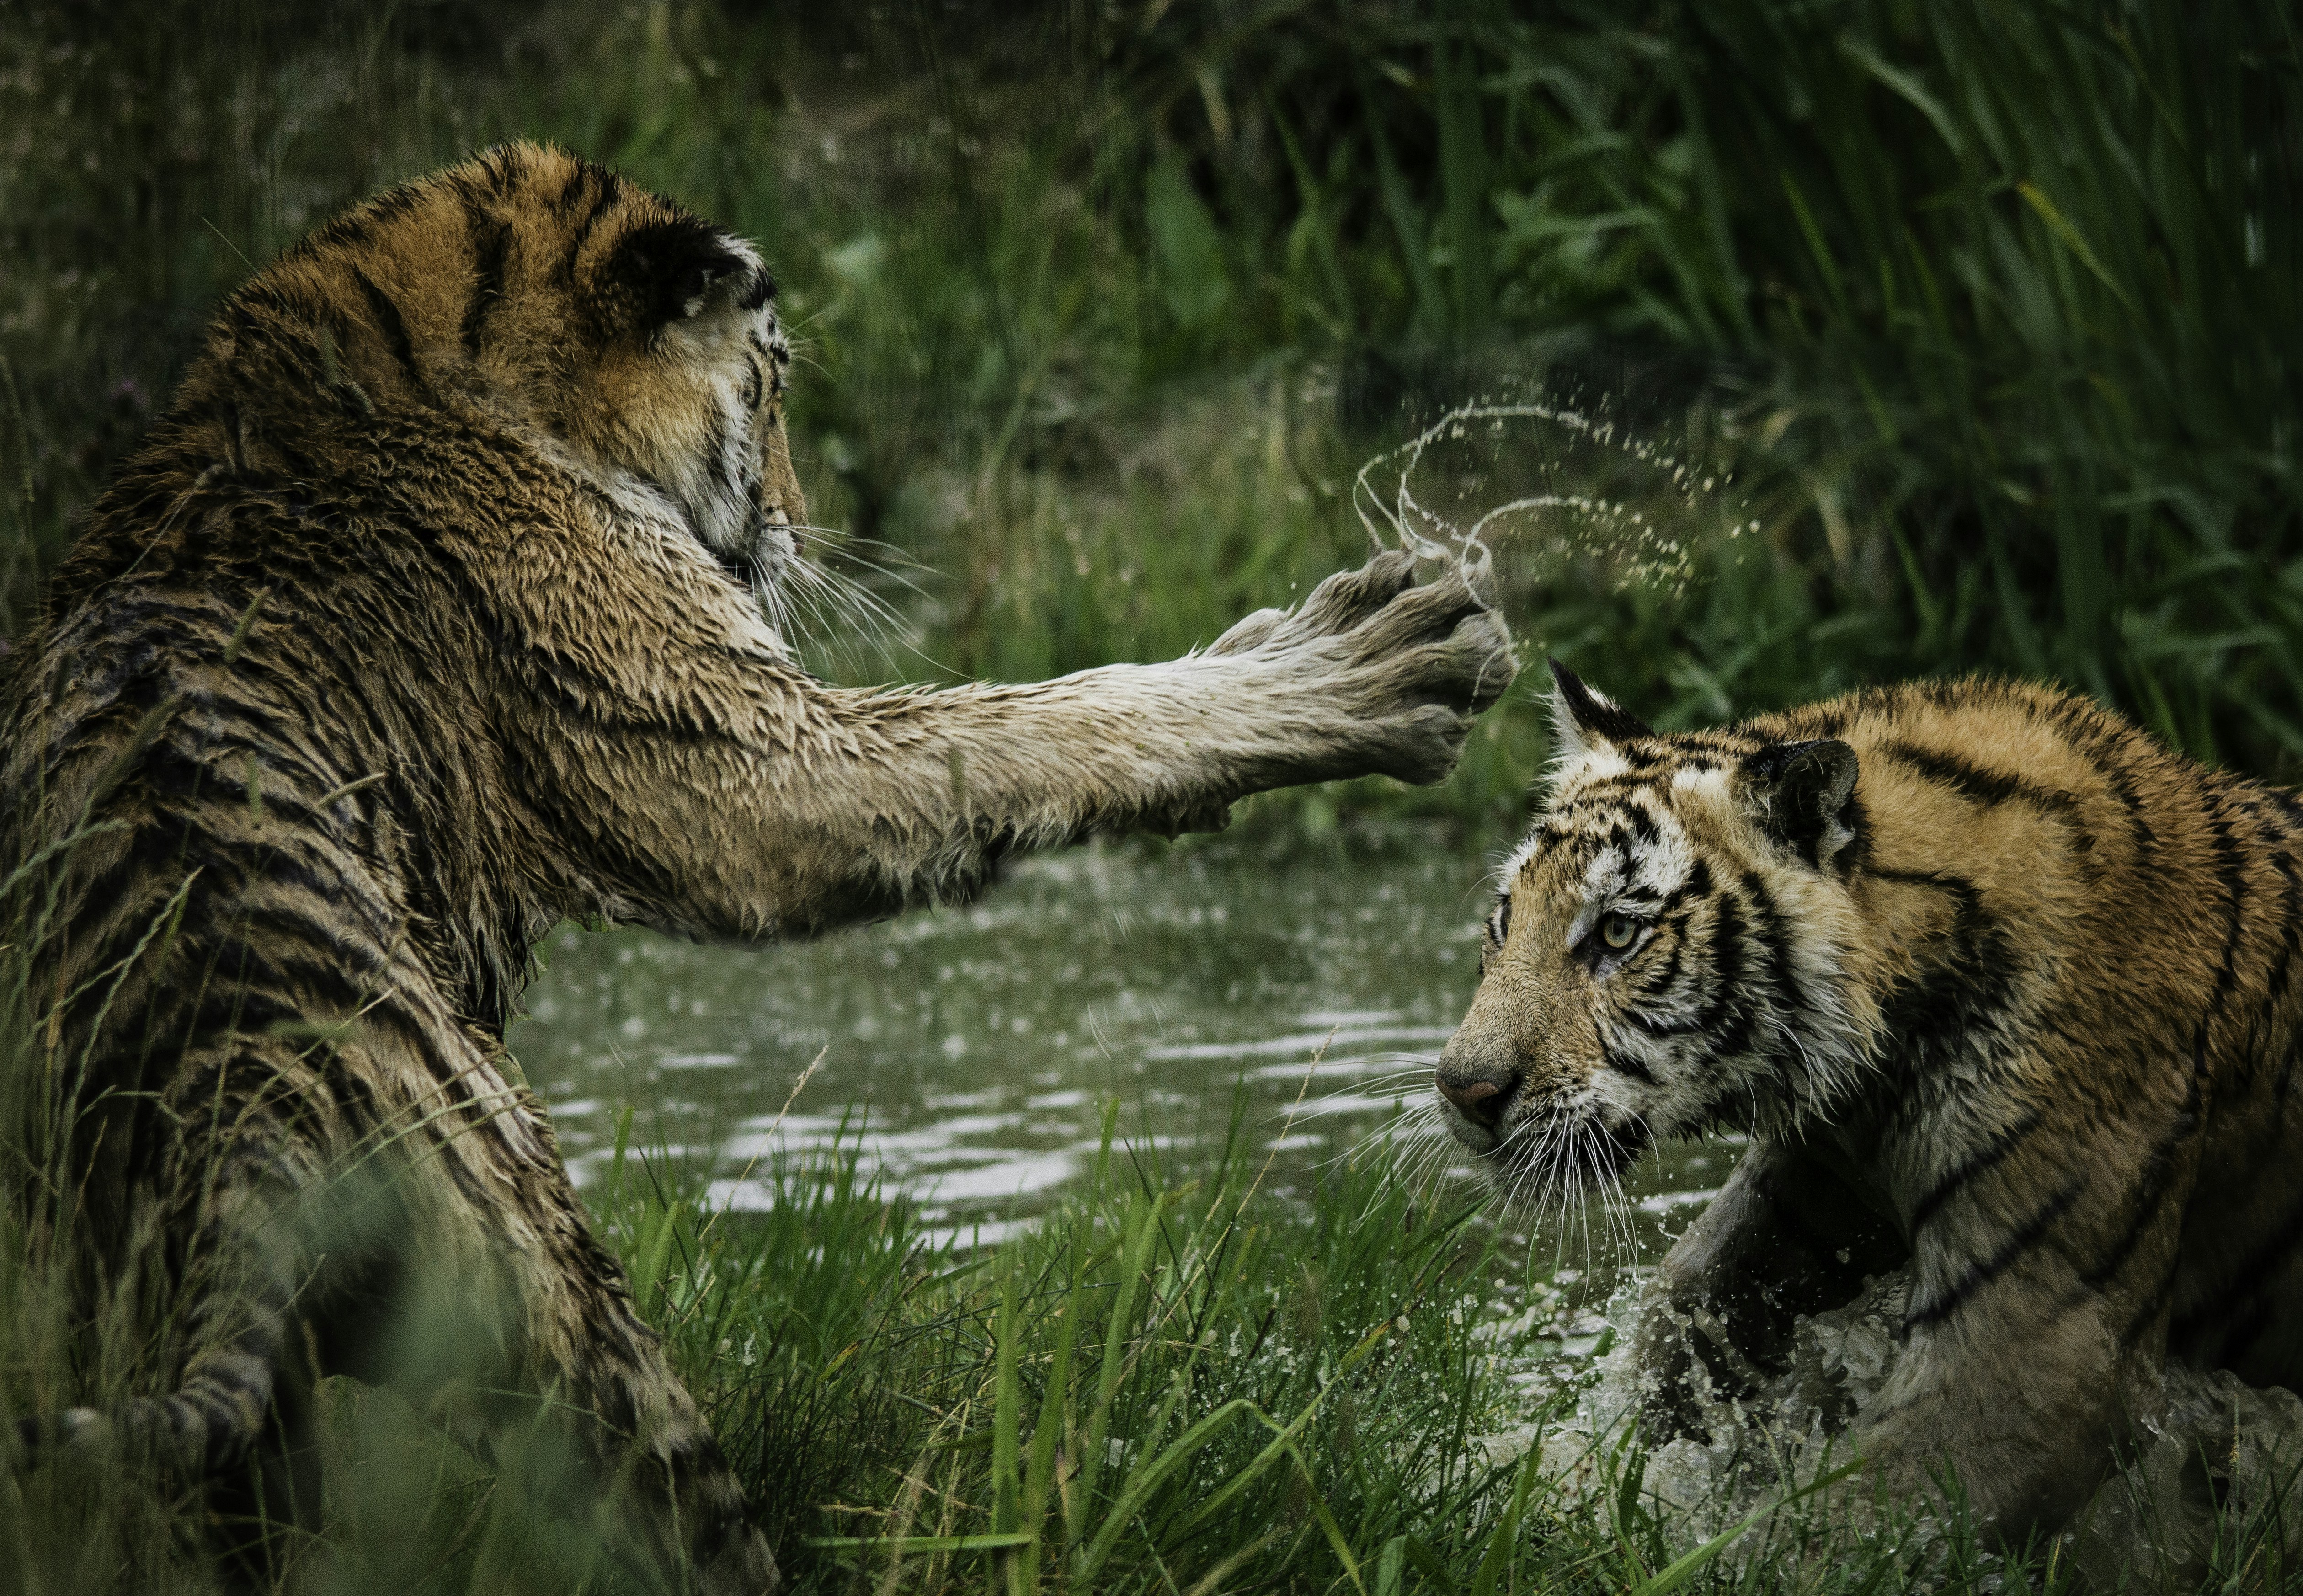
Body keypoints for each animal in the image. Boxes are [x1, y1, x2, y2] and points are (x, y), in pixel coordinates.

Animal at [0, 139, 1516, 1592]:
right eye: (772, 388)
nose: (795, 524)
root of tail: (236, 1082)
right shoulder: (747, 757)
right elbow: (1042, 721)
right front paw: (1368, 661)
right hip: (553, 1295)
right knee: (685, 1523)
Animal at [1435, 660, 2303, 1543]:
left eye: (1617, 933)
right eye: (1504, 921)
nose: (1461, 1088)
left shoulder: (2041, 1352)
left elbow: (1830, 1529)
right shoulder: (1814, 1188)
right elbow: (1681, 1313)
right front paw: (1556, 1484)